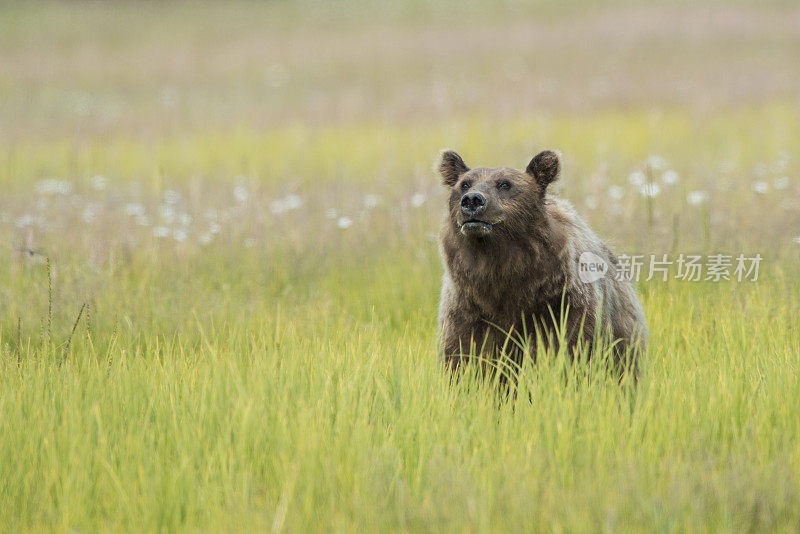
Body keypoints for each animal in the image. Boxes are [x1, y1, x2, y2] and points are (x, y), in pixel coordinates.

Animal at [434, 149, 648, 378]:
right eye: (464, 184)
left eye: (505, 184)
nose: (473, 200)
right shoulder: (468, 307)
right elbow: (463, 355)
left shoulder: (561, 303)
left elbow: (570, 349)